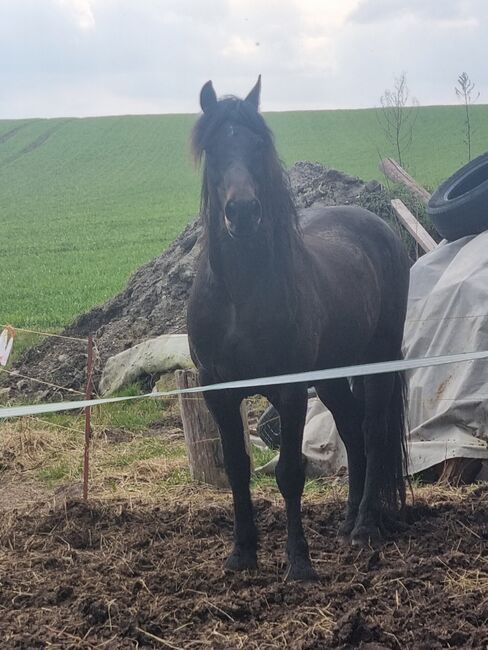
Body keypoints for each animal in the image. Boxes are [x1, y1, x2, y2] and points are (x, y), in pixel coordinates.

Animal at [189, 78, 410, 580]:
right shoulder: (217, 391)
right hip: (330, 376)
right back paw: (347, 522)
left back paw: (365, 526)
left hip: (378, 359)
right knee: (351, 431)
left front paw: (299, 563)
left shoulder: (289, 391)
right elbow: (237, 468)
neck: (240, 295)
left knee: (371, 431)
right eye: (212, 148)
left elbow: (290, 473)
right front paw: (242, 554)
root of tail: (380, 227)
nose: (243, 212)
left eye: (258, 144)